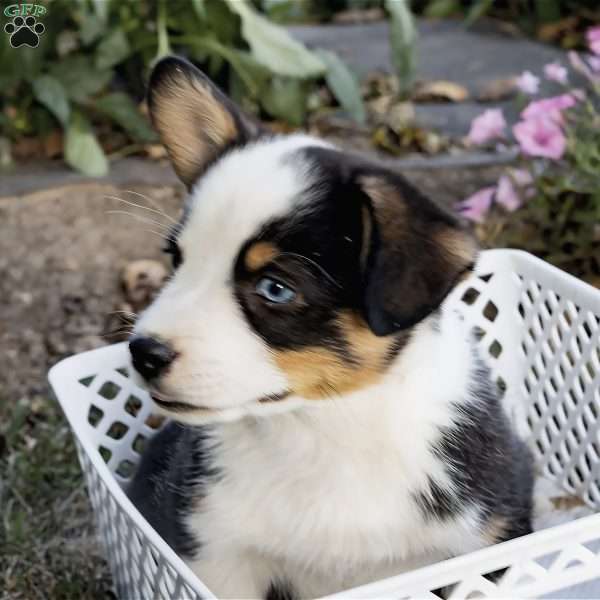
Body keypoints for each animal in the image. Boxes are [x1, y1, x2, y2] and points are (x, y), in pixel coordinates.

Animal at [127, 57, 536, 600]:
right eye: (177, 259)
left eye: (276, 288)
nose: (142, 353)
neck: (325, 424)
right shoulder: (215, 550)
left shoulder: (488, 538)